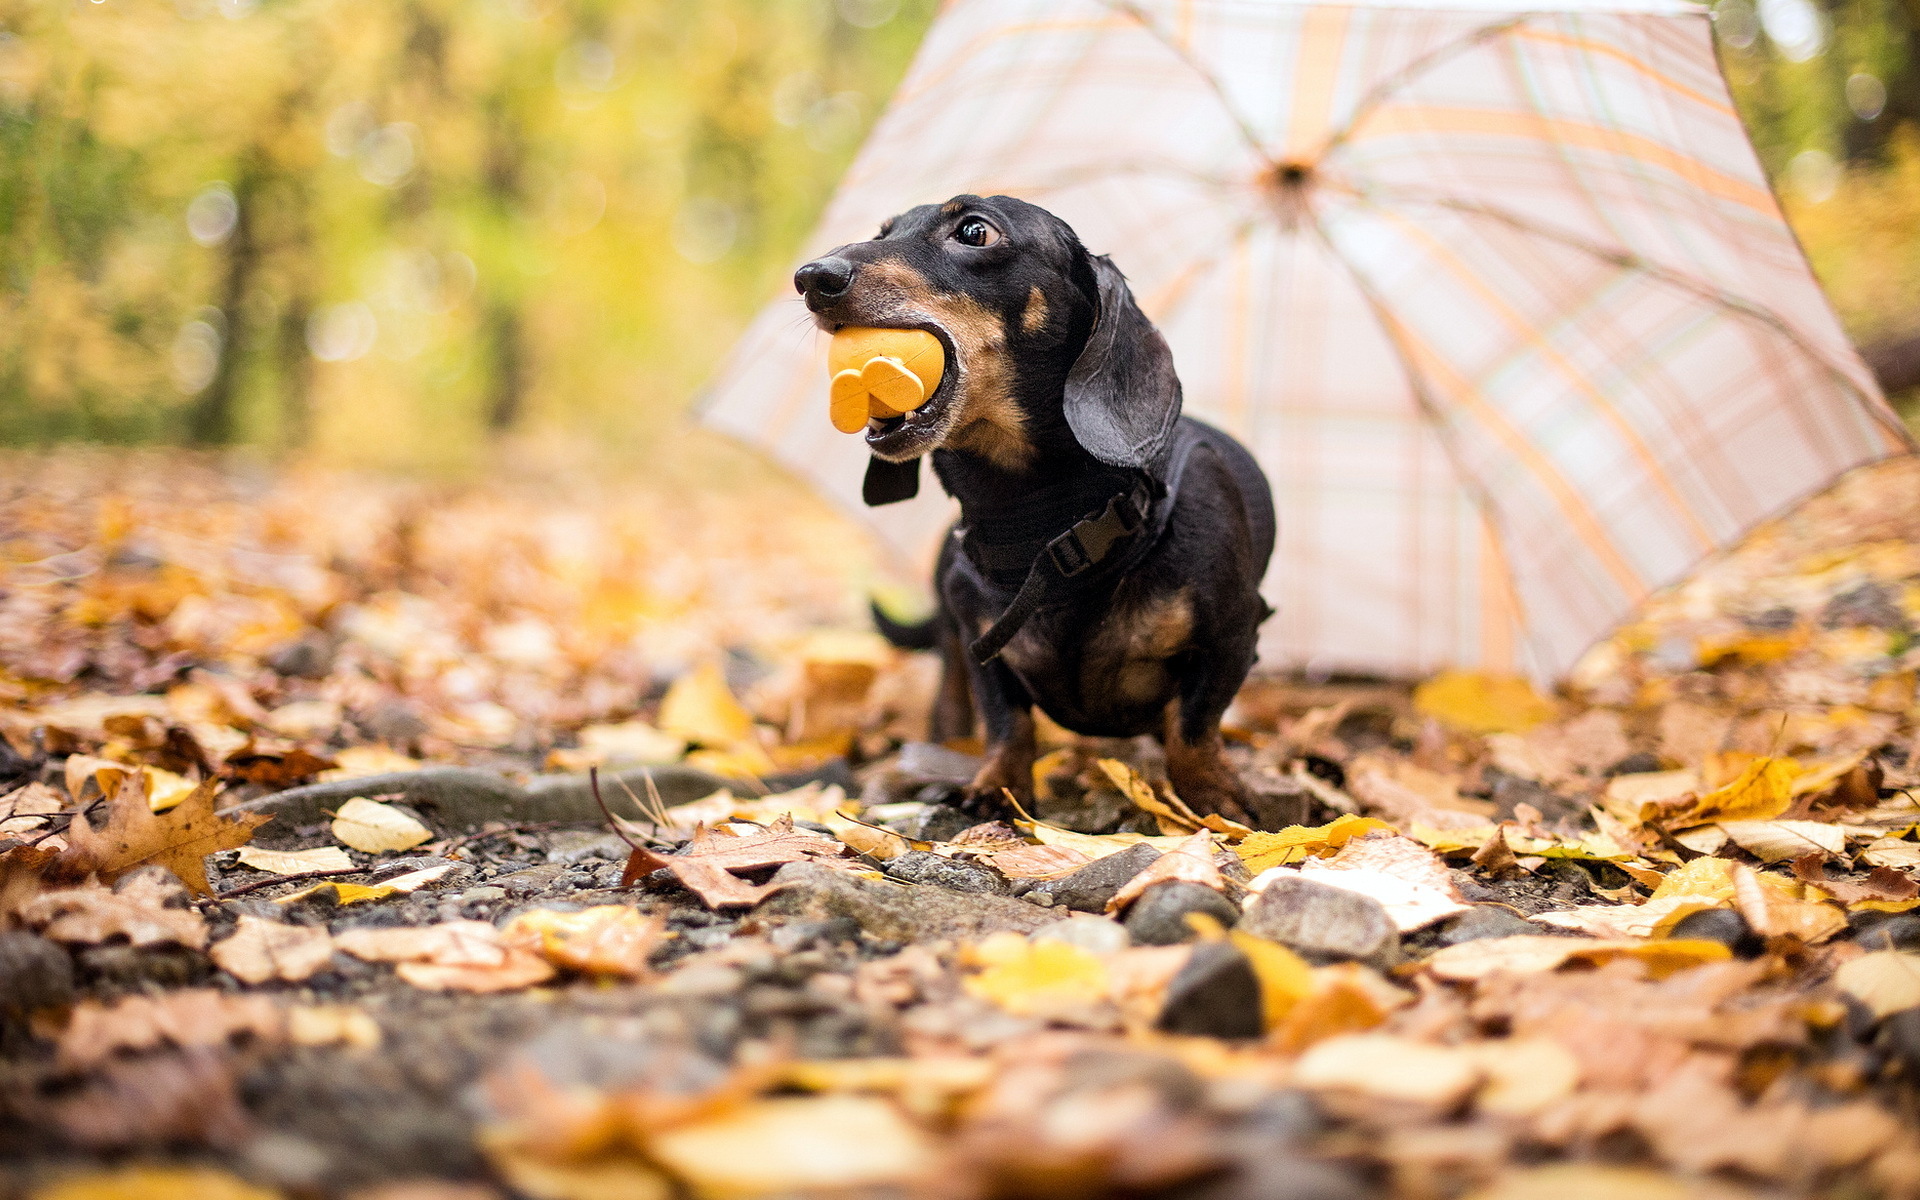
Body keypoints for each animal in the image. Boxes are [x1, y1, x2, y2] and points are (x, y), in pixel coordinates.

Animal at [794, 193, 1274, 821]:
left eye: (974, 231)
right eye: (883, 231)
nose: (811, 277)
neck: (1042, 520)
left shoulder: (1233, 636)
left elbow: (1192, 726)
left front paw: (1213, 798)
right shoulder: (983, 645)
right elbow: (1008, 724)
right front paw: (997, 788)